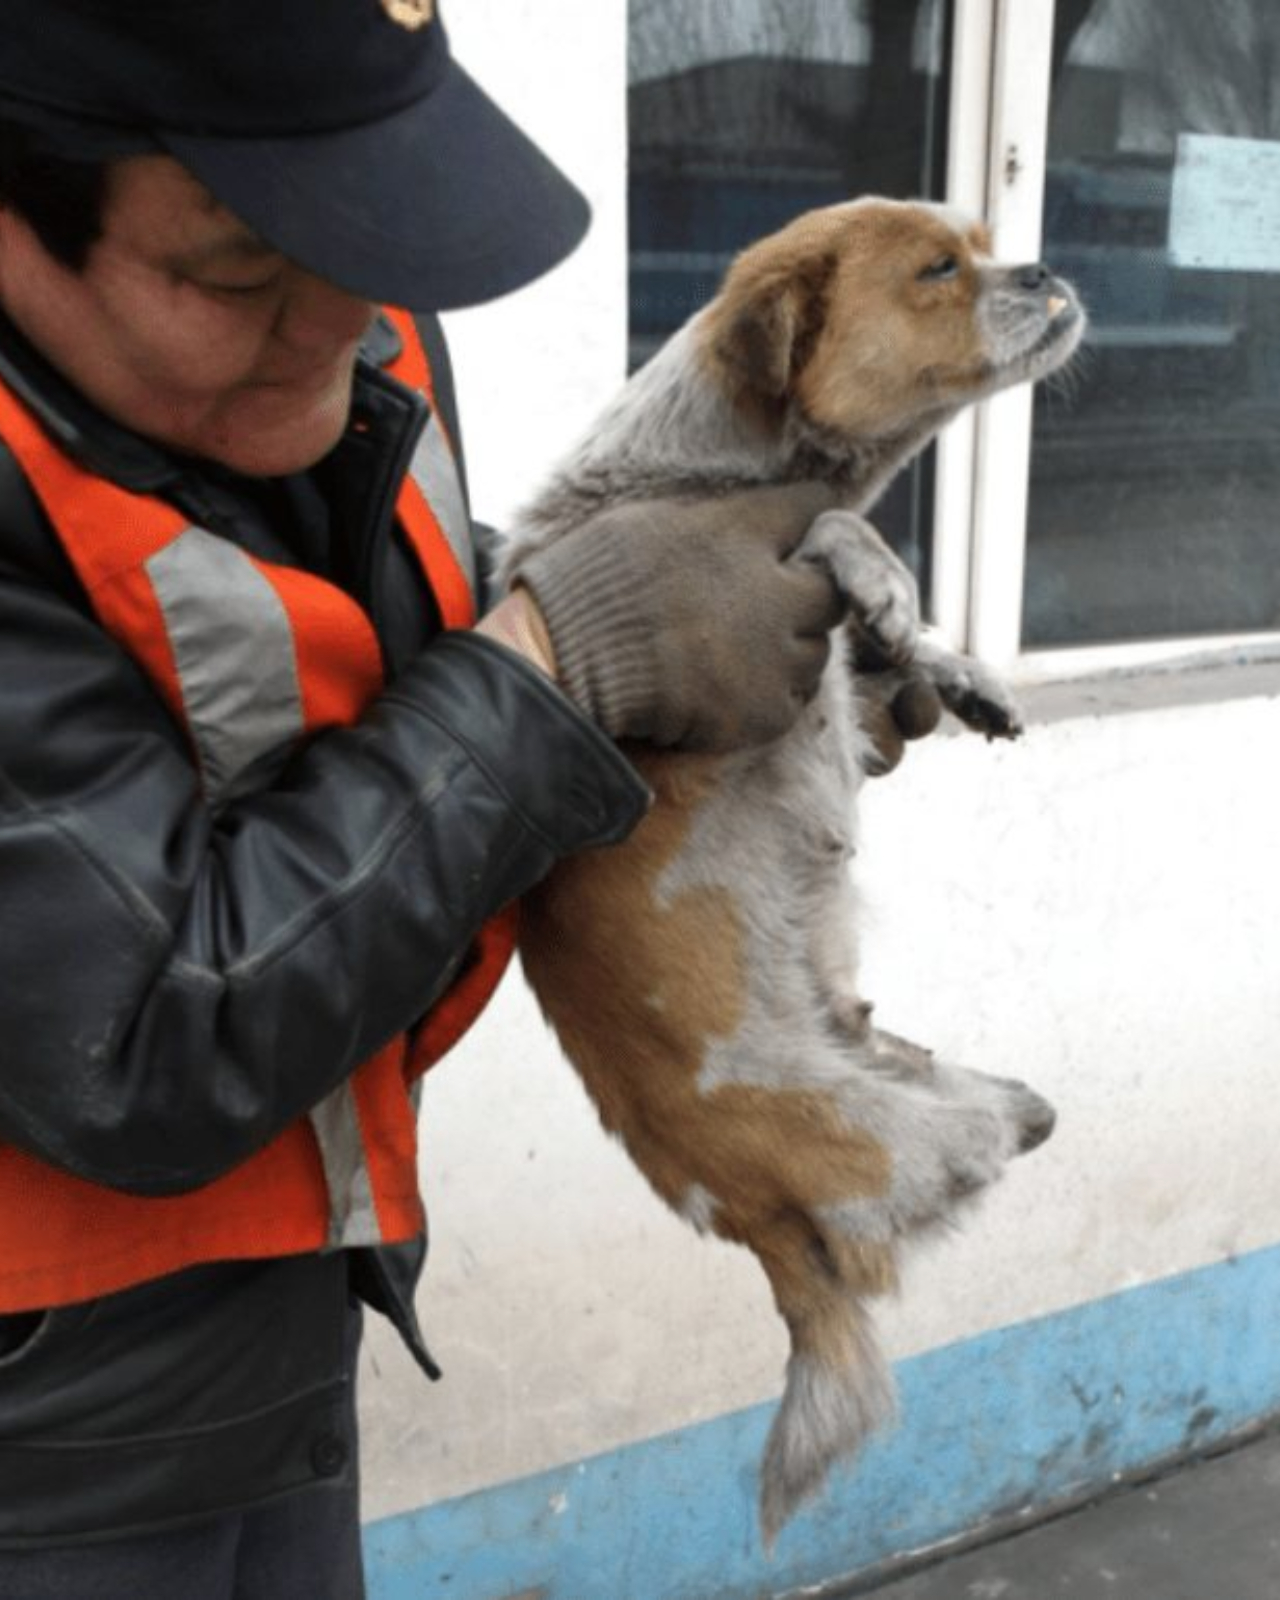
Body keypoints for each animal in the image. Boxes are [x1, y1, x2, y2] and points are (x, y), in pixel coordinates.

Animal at [499, 196, 1081, 1536]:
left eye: (984, 242)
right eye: (937, 268)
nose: (1045, 266)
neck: (726, 462)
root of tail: (768, 1242)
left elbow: (894, 650)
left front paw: (947, 666)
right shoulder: (752, 558)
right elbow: (832, 531)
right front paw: (879, 575)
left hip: (950, 1087)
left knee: (1017, 1111)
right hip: (904, 1136)